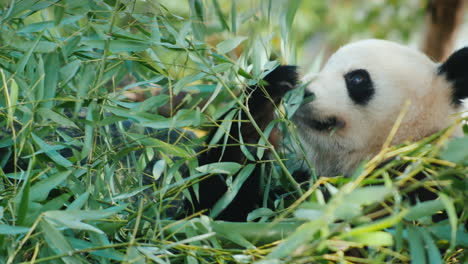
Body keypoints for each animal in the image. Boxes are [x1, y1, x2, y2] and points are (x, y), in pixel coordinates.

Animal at [191, 38, 468, 221]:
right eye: (325, 66)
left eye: (357, 78)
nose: (303, 91)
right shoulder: (298, 178)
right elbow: (218, 205)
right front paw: (272, 85)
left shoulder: (424, 186)